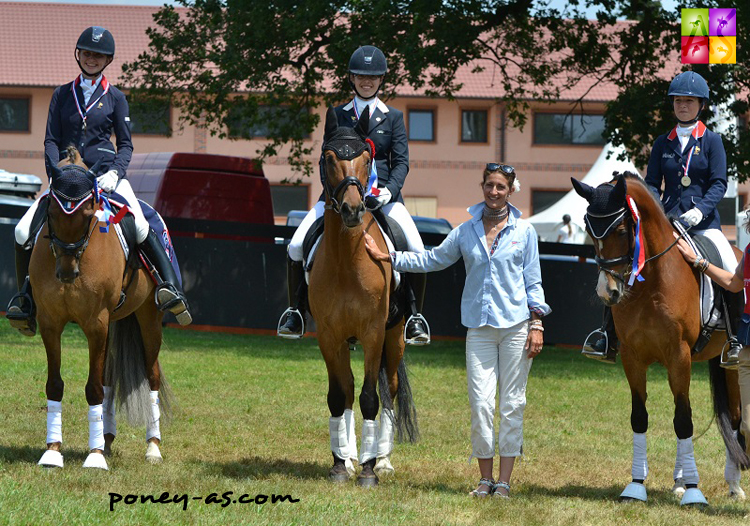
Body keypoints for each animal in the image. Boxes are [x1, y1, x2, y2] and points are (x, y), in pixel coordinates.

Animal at [32, 150, 172, 474]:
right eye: (51, 214)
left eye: (87, 216)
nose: (67, 273)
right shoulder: (49, 323)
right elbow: (55, 385)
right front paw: (53, 451)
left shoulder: (96, 324)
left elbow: (93, 389)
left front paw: (93, 456)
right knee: (108, 377)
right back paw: (107, 440)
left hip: (149, 320)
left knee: (152, 376)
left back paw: (152, 447)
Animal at [308, 107, 420, 490]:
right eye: (329, 158)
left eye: (367, 158)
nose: (353, 210)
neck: (348, 259)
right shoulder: (329, 336)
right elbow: (336, 396)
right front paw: (340, 466)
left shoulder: (373, 334)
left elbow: (371, 397)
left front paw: (369, 472)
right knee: (348, 389)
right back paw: (350, 455)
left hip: (394, 336)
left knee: (390, 392)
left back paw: (381, 460)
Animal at [572, 173, 748, 508]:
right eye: (589, 230)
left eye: (622, 230)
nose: (607, 292)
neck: (652, 281)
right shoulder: (633, 357)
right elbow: (641, 418)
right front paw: (636, 486)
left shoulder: (679, 355)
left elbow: (684, 420)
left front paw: (694, 492)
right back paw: (680, 481)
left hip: (730, 363)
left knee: (734, 417)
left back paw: (733, 485)